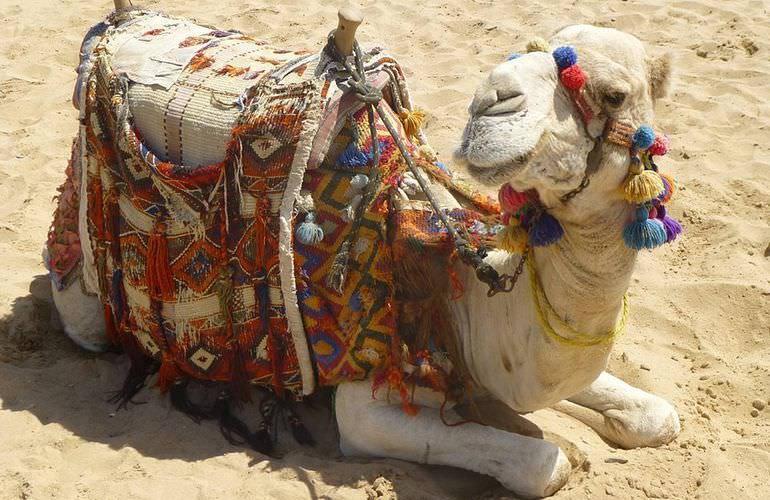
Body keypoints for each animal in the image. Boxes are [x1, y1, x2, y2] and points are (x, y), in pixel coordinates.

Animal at [49, 2, 680, 496]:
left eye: (615, 93)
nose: (491, 102)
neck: (452, 293)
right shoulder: (364, 394)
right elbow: (544, 465)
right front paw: (550, 440)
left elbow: (659, 416)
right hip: (87, 307)